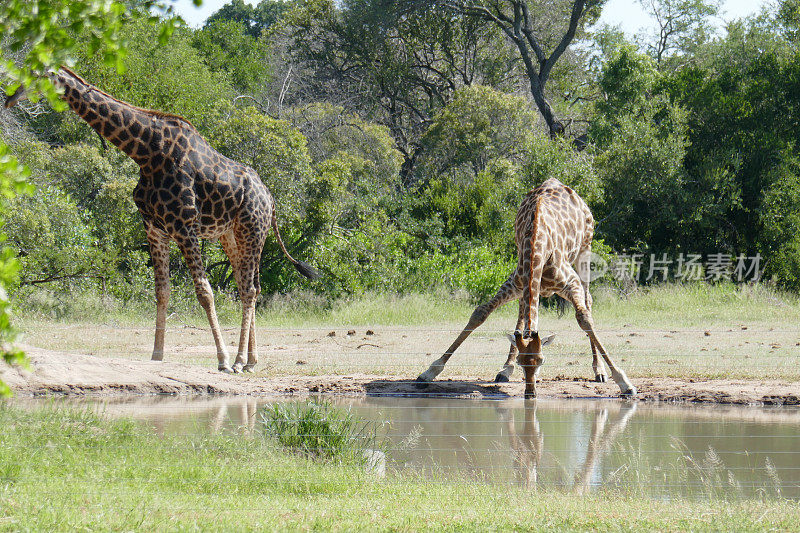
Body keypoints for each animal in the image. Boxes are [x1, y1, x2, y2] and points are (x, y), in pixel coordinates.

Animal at [7, 68, 318, 372]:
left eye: (37, 75)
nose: (10, 98)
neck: (146, 152)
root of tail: (271, 200)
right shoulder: (154, 228)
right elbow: (162, 291)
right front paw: (157, 354)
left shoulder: (184, 226)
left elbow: (204, 292)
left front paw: (222, 359)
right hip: (230, 235)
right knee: (246, 285)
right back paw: (252, 360)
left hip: (253, 230)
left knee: (251, 289)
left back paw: (240, 360)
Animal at [416, 177, 636, 396]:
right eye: (523, 363)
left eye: (542, 361)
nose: (530, 392)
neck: (537, 247)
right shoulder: (515, 283)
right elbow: (480, 313)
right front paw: (428, 373)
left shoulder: (571, 283)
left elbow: (584, 318)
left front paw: (624, 382)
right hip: (526, 283)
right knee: (523, 311)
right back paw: (505, 369)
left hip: (585, 249)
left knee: (588, 300)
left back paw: (599, 371)